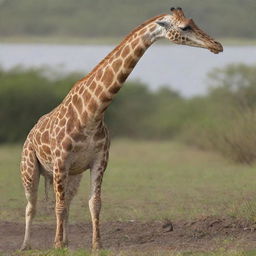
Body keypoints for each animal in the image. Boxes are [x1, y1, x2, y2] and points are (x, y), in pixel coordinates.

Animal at [21, 7, 223, 251]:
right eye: (185, 27)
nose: (217, 45)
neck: (92, 114)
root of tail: (30, 133)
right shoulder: (61, 161)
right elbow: (58, 206)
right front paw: (57, 246)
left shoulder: (99, 161)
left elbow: (94, 203)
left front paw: (96, 245)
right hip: (31, 168)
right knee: (32, 205)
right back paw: (27, 245)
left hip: (73, 175)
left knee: (66, 202)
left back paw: (67, 241)